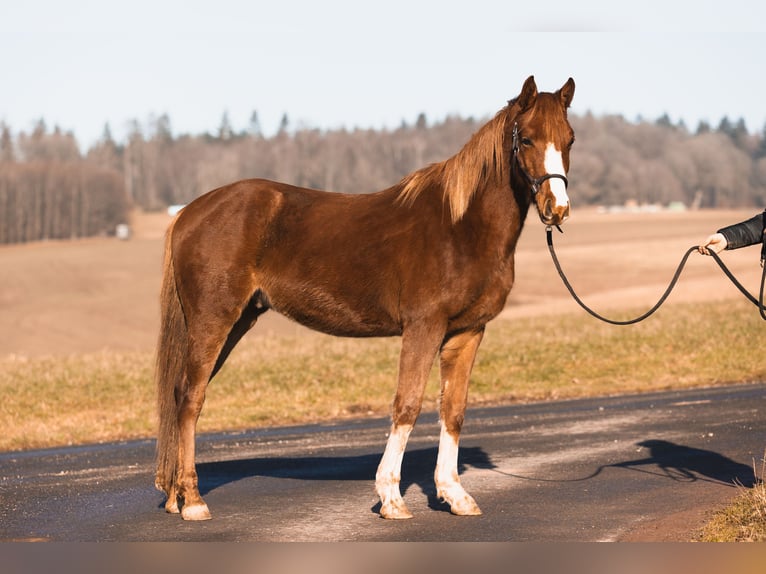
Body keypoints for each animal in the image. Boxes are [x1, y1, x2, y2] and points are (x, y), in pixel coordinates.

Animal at [156, 75, 576, 520]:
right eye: (526, 139)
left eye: (569, 139)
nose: (557, 208)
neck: (462, 226)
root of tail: (189, 213)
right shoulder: (423, 327)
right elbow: (407, 404)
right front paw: (391, 497)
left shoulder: (467, 332)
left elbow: (454, 410)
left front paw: (455, 494)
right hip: (213, 320)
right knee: (191, 398)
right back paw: (193, 501)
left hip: (236, 321)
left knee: (181, 394)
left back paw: (175, 496)